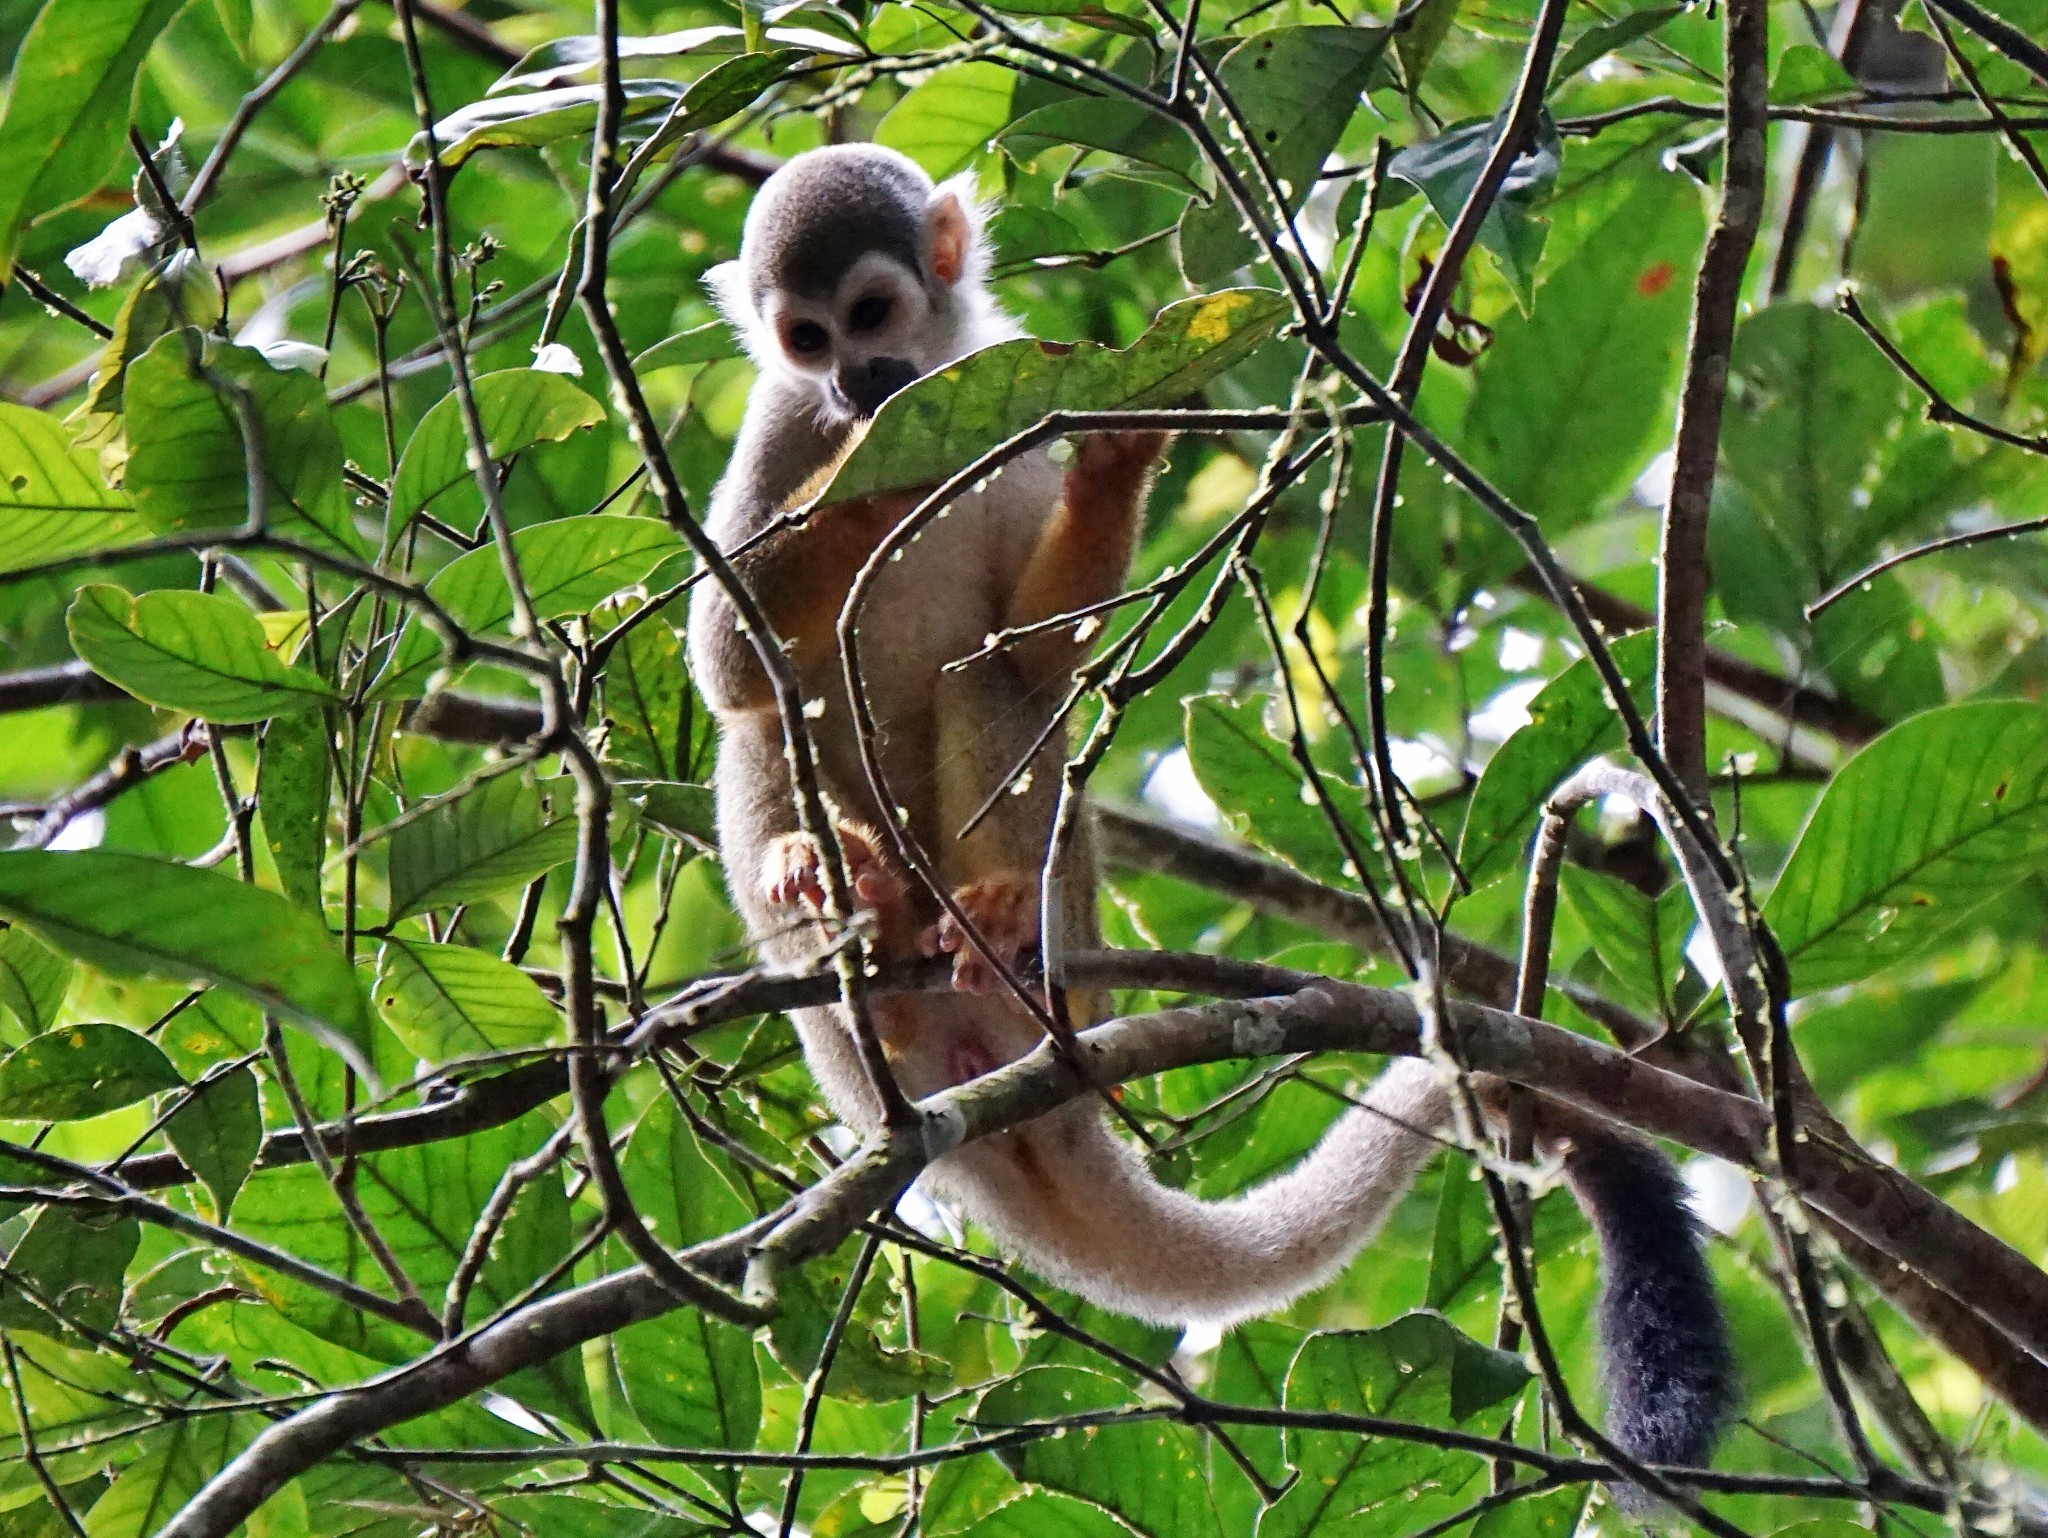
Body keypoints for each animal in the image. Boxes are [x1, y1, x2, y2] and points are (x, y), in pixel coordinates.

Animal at [684, 147, 1728, 1482]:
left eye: (868, 314)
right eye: (803, 339)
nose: (857, 381)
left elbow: (1043, 646)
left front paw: (1110, 465)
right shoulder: (778, 424)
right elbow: (730, 659)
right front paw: (878, 464)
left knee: (992, 676)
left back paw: (994, 930)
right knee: (777, 709)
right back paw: (832, 889)